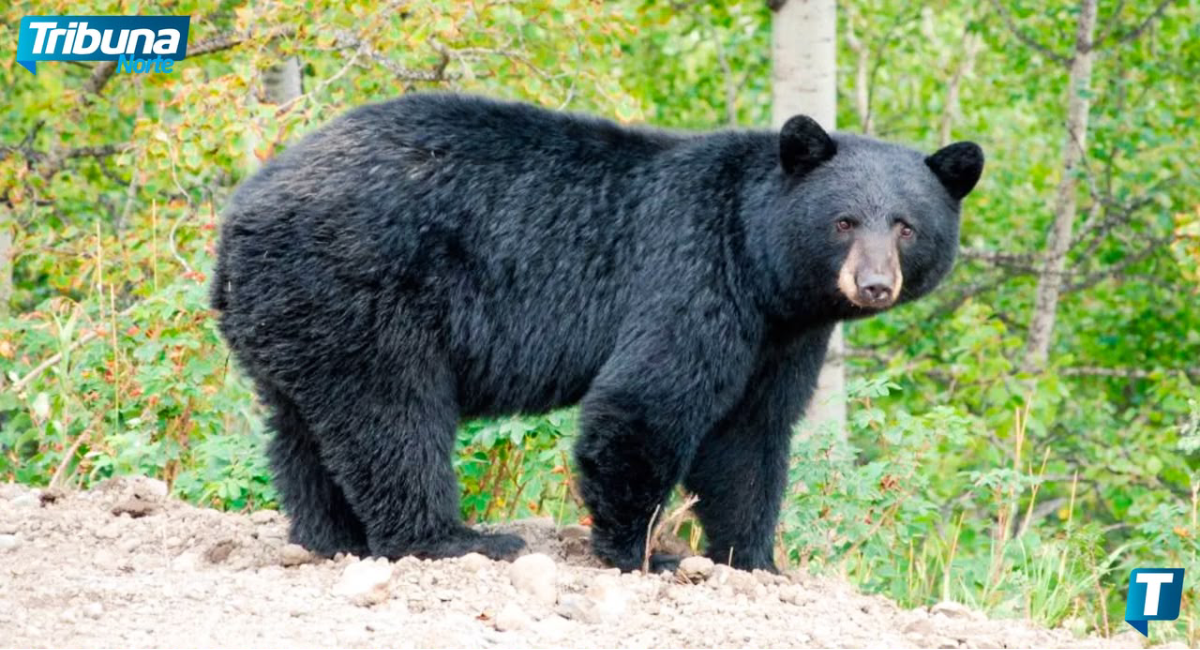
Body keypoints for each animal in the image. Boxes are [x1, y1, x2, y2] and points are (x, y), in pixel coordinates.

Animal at [211, 92, 983, 573]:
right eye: (844, 220)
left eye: (906, 226)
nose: (874, 284)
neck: (761, 262)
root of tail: (240, 214)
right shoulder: (692, 273)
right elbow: (645, 403)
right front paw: (644, 552)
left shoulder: (782, 335)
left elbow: (751, 436)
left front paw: (754, 558)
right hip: (362, 291)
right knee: (392, 416)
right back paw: (452, 539)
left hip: (295, 313)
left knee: (303, 430)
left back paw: (330, 537)